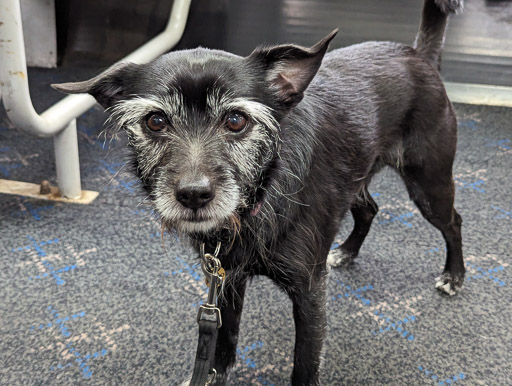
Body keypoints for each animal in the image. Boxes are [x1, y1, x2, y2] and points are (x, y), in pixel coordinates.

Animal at [54, 0, 466, 382]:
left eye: (236, 120)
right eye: (155, 121)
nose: (193, 195)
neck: (256, 203)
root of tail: (419, 54)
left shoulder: (310, 293)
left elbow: (305, 363)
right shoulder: (225, 279)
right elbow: (224, 339)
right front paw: (213, 376)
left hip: (429, 184)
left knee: (454, 222)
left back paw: (454, 276)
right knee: (369, 209)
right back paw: (347, 251)